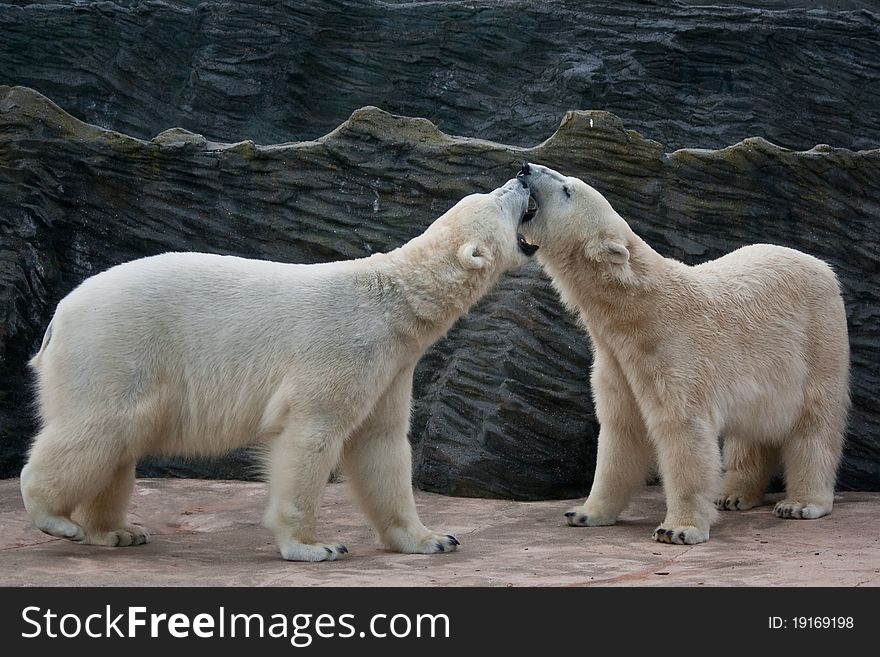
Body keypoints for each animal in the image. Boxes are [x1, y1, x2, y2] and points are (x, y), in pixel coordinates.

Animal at [18, 177, 536, 560]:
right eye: (498, 198)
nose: (522, 175)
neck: (395, 300)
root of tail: (59, 315)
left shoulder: (391, 366)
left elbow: (381, 443)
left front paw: (431, 538)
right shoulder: (344, 348)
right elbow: (312, 434)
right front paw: (314, 545)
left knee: (119, 445)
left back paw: (116, 532)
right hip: (115, 347)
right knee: (103, 426)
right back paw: (54, 516)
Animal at [520, 163, 848, 544]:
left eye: (567, 189)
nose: (525, 169)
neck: (638, 309)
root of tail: (822, 265)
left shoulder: (673, 351)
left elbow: (683, 430)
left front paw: (678, 528)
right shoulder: (616, 360)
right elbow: (621, 431)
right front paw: (585, 513)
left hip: (817, 338)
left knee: (815, 420)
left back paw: (801, 503)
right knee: (752, 428)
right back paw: (734, 495)